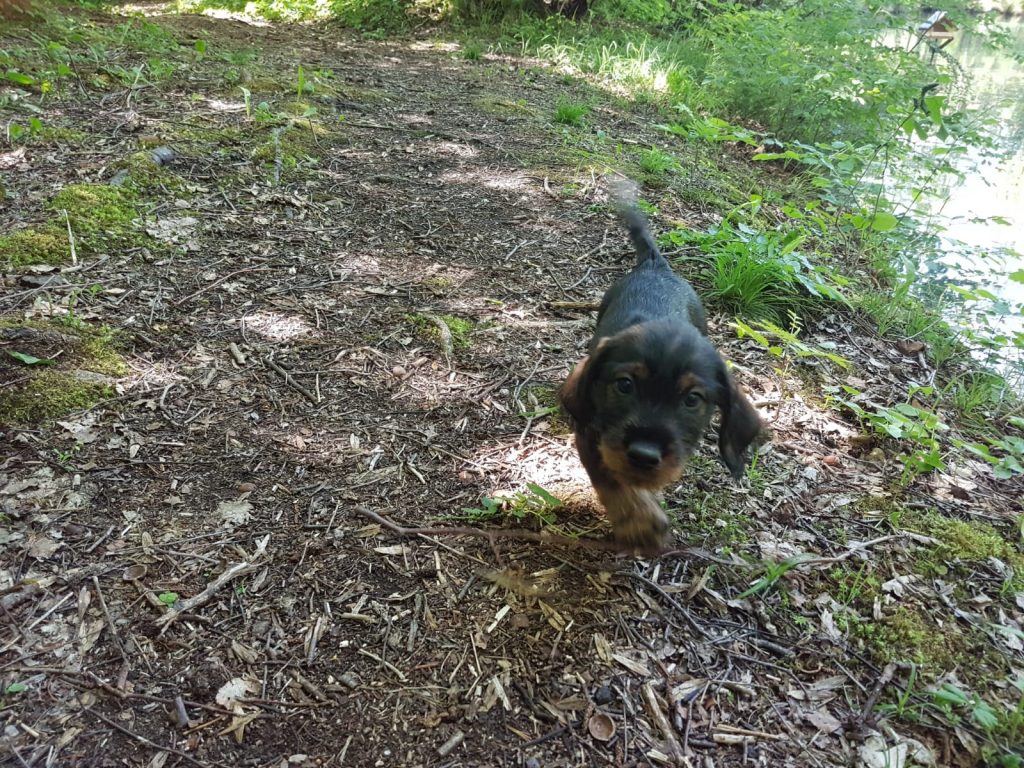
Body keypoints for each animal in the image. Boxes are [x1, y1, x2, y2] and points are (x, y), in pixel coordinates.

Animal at [561, 195, 761, 548]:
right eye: (625, 385)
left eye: (692, 399)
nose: (644, 454)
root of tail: (656, 264)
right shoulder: (591, 433)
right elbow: (609, 478)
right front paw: (639, 522)